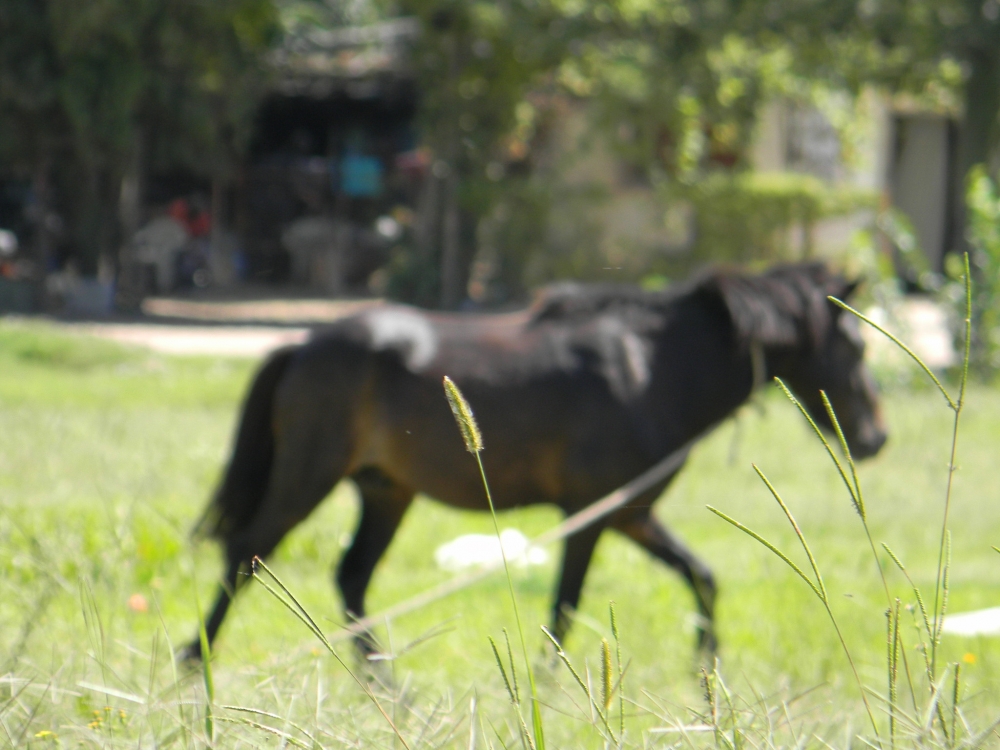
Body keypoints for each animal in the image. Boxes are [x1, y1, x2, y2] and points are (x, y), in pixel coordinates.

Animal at [184, 262, 888, 660]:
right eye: (856, 346)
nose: (876, 437)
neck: (648, 372)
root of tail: (301, 346)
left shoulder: (631, 515)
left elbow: (703, 579)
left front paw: (705, 672)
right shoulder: (591, 518)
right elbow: (564, 614)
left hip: (387, 491)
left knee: (351, 579)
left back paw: (395, 697)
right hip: (309, 477)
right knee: (245, 556)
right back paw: (199, 668)